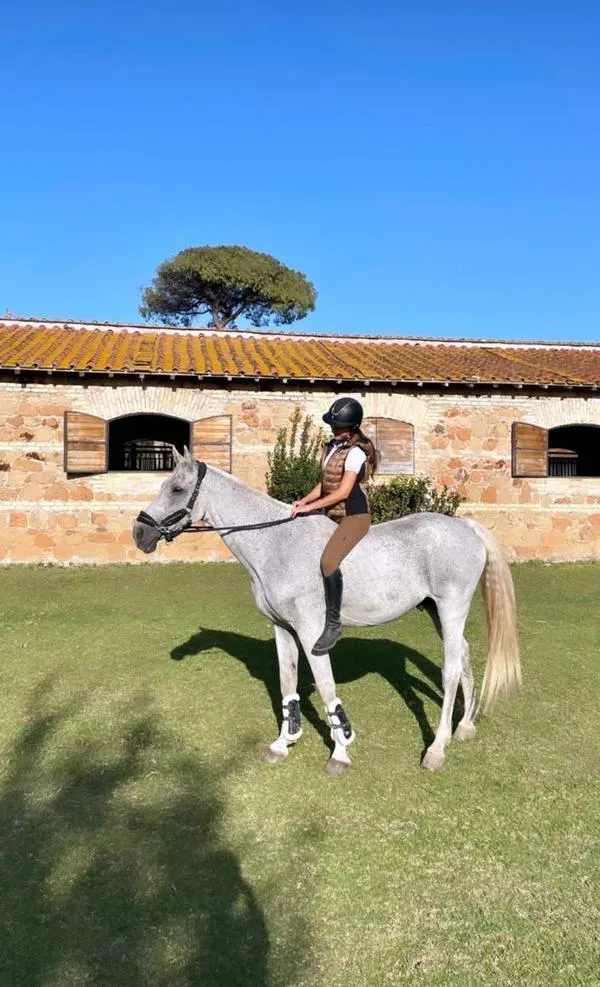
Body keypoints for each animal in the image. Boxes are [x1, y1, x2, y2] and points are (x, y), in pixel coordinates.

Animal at [133, 447, 520, 774]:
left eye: (177, 489)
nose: (139, 533)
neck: (277, 544)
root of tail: (466, 526)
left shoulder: (311, 633)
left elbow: (326, 686)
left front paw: (341, 752)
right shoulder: (283, 629)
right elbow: (287, 682)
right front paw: (283, 743)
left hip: (452, 607)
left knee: (451, 670)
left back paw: (437, 749)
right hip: (436, 612)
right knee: (464, 655)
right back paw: (465, 726)